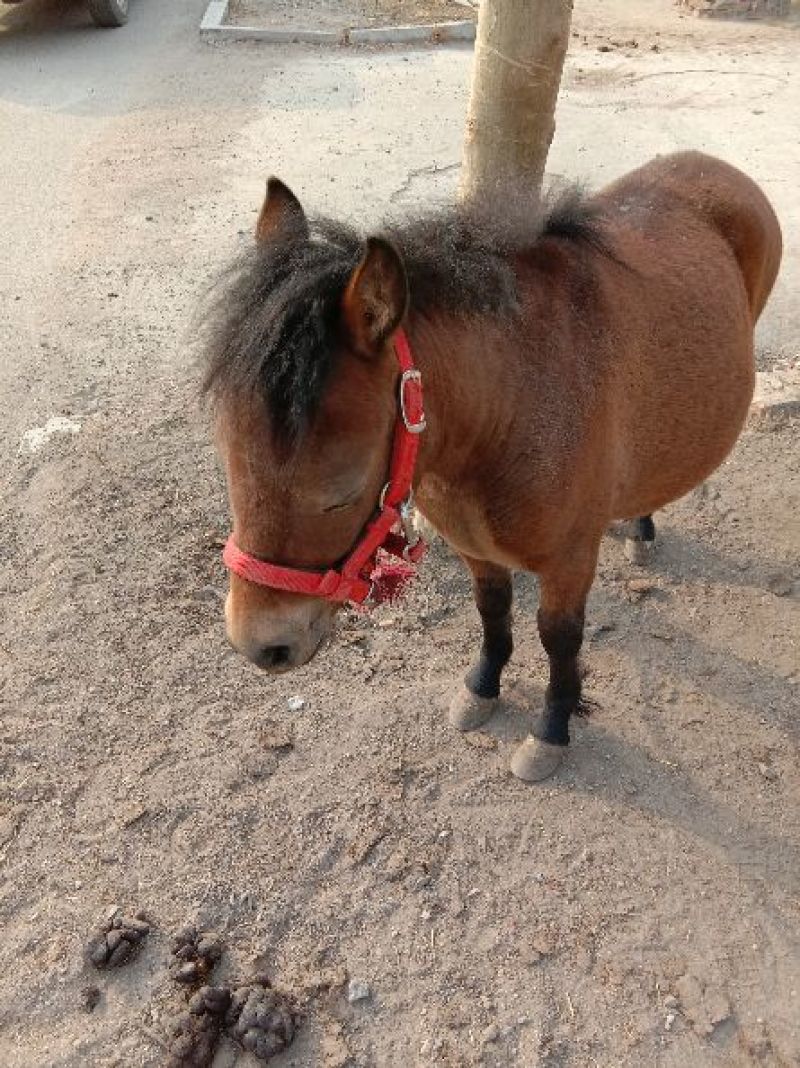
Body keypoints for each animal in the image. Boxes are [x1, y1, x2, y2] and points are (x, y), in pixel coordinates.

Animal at [202, 151, 781, 783]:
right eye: (231, 468)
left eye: (340, 493)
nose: (261, 645)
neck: (513, 407)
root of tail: (714, 166)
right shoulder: (475, 548)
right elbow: (492, 612)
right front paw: (482, 688)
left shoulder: (570, 561)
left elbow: (558, 639)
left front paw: (551, 730)